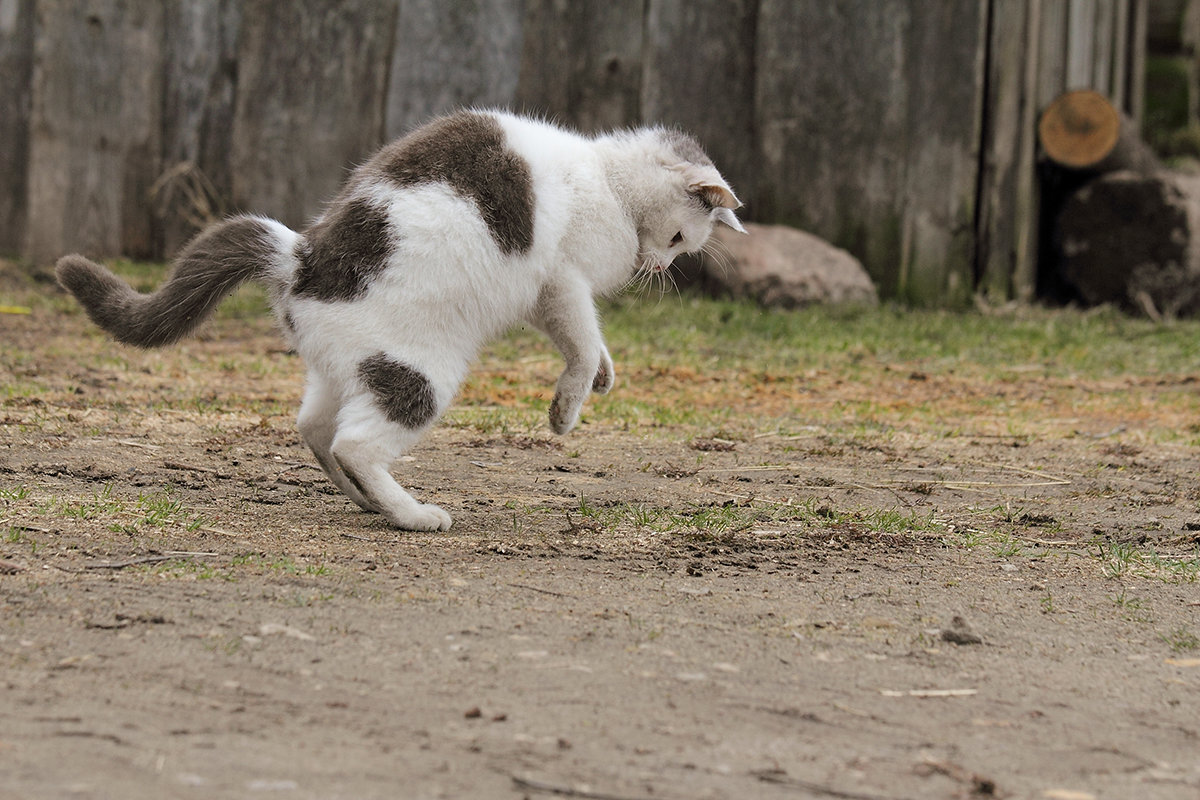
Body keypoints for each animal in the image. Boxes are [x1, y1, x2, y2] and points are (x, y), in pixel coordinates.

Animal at [63, 107, 748, 532]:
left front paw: (604, 374)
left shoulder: (542, 297)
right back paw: (413, 514)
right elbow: (580, 341)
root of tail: (300, 260)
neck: (608, 179)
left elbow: (588, 344)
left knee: (316, 428)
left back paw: (367, 501)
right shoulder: (561, 282)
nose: (659, 264)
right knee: (356, 442)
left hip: (350, 367)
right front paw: (568, 408)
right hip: (422, 372)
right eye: (682, 238)